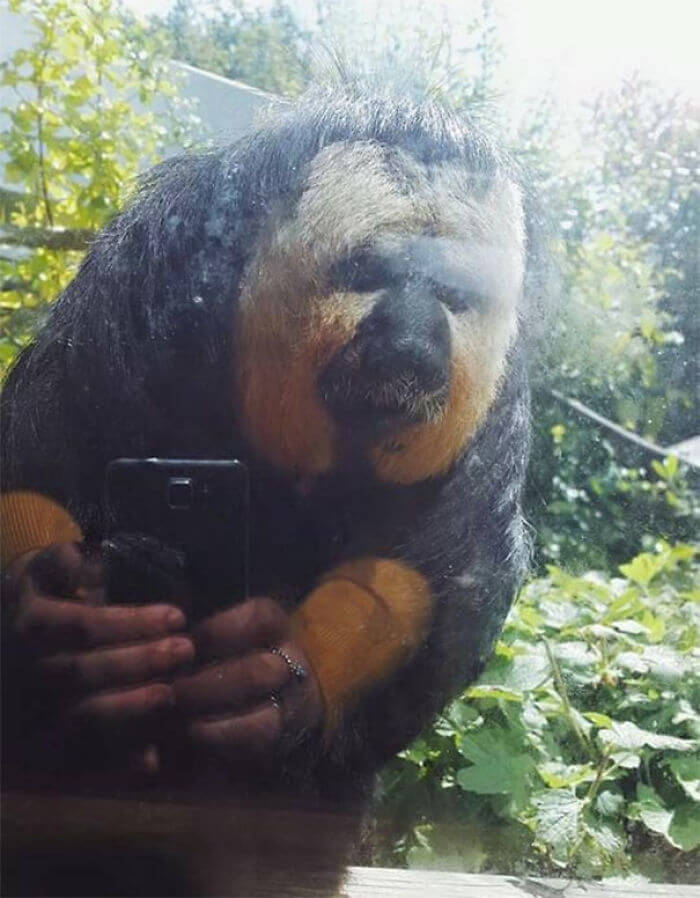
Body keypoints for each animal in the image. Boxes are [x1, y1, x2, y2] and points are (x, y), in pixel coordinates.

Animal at [1, 84, 537, 801]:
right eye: (370, 273)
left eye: (452, 295)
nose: (411, 345)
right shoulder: (144, 279)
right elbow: (44, 462)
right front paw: (69, 629)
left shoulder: (498, 406)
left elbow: (434, 574)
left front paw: (278, 697)